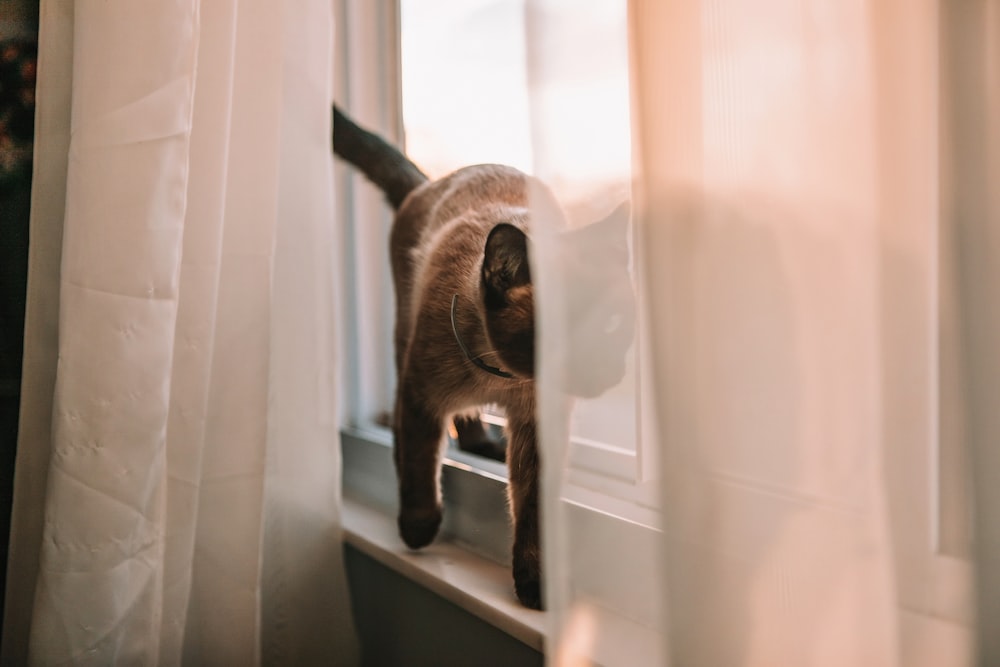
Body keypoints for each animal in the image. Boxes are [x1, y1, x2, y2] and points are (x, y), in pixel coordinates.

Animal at [334, 104, 632, 612]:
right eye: (558, 332)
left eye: (613, 325)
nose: (608, 374)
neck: (502, 376)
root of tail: (431, 181)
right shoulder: (420, 397)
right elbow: (419, 464)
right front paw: (418, 529)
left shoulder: (538, 426)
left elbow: (533, 509)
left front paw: (535, 585)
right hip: (400, 337)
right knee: (415, 432)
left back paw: (483, 445)